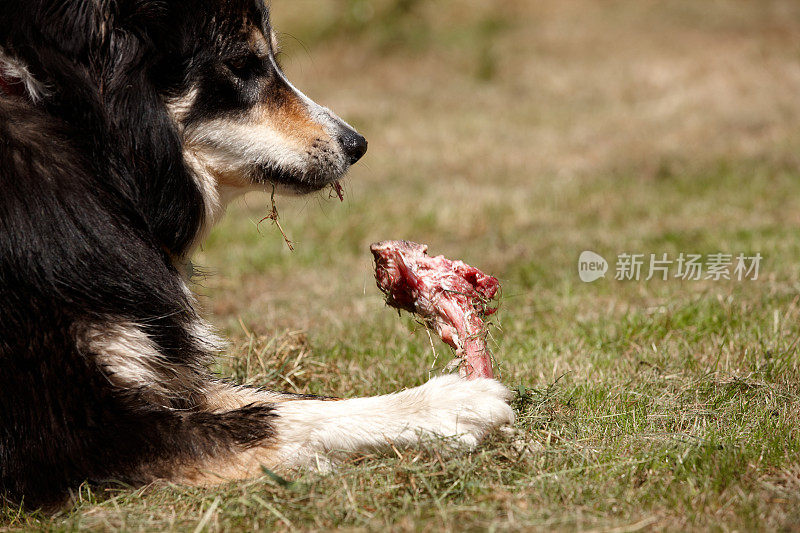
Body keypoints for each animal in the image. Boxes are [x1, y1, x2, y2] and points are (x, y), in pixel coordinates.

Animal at [0, 0, 512, 508]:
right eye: (242, 64)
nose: (358, 145)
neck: (85, 142)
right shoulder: (72, 432)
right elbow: (272, 420)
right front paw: (453, 404)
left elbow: (281, 398)